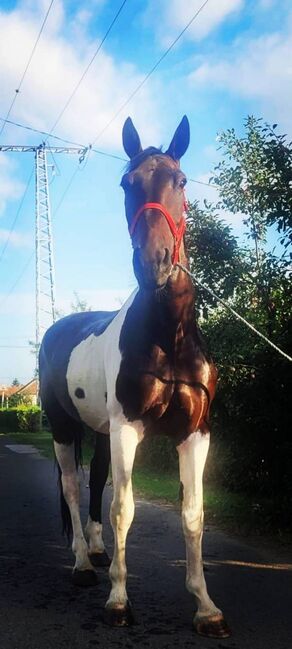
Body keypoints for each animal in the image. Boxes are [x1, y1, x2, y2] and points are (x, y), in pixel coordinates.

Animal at [38, 116, 230, 636]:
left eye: (180, 181)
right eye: (127, 183)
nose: (154, 264)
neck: (169, 336)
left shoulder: (195, 433)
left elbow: (193, 514)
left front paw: (205, 607)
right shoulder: (129, 428)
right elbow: (123, 509)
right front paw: (119, 602)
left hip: (102, 432)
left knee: (95, 482)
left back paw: (98, 552)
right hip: (65, 428)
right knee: (71, 487)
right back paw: (83, 565)